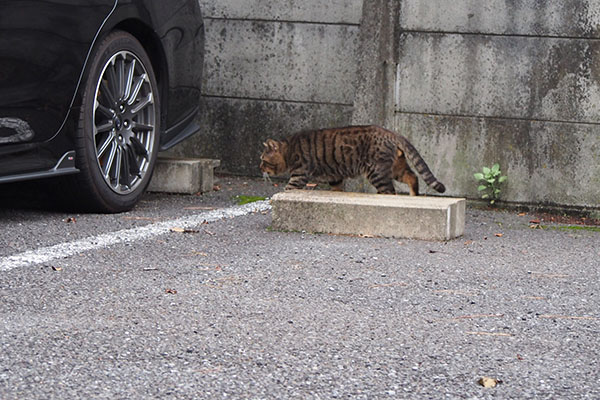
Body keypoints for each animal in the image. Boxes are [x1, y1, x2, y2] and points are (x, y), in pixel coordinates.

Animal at [258, 124, 446, 195]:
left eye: (263, 160)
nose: (259, 168)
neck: (289, 149)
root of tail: (391, 132)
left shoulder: (299, 175)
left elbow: (287, 189)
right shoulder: (335, 178)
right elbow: (338, 191)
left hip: (376, 172)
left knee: (389, 191)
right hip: (395, 168)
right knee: (412, 177)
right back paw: (414, 196)